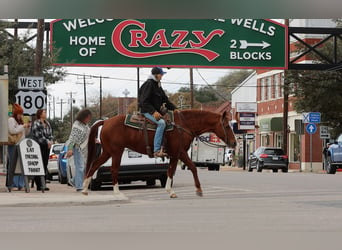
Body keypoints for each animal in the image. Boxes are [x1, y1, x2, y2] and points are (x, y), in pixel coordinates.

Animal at [82, 109, 236, 199]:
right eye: (226, 126)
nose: (234, 143)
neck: (183, 125)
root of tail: (105, 121)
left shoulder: (176, 154)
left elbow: (176, 170)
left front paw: (176, 190)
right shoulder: (179, 152)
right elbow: (186, 168)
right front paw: (193, 190)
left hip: (108, 152)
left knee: (94, 165)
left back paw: (84, 189)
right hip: (116, 152)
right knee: (113, 169)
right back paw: (116, 192)